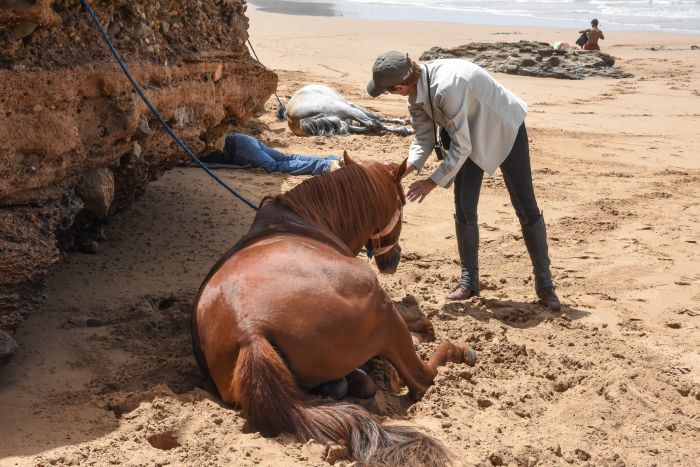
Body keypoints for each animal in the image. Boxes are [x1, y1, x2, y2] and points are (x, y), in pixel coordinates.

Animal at [190, 154, 476, 467]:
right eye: (401, 204)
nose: (394, 259)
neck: (299, 219)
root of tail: (249, 329)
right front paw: (424, 327)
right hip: (381, 308)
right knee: (421, 379)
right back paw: (456, 352)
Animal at [284, 84, 412, 137]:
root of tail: (293, 118)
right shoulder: (352, 106)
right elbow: (375, 116)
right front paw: (403, 122)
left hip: (342, 119)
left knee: (369, 126)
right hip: (347, 109)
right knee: (373, 123)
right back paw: (407, 130)